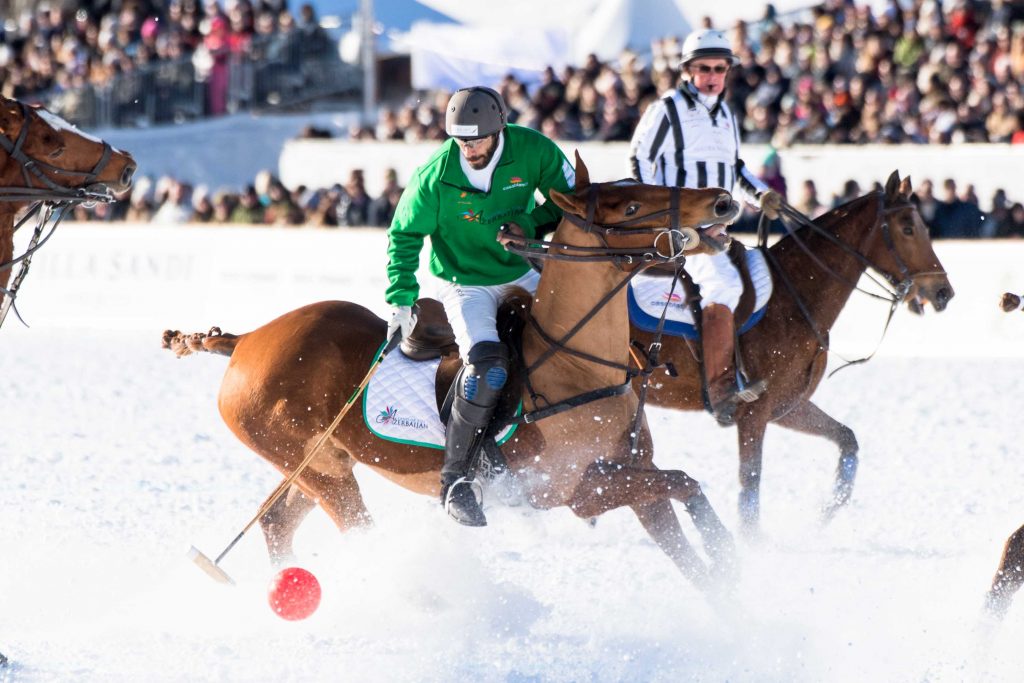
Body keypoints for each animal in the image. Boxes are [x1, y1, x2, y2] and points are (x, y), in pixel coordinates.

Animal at [165, 160, 745, 593]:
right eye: (630, 207)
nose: (722, 200)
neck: (576, 366)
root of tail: (245, 340)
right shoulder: (578, 490)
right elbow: (685, 482)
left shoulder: (633, 477)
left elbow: (688, 519)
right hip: (317, 469)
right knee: (355, 530)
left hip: (321, 460)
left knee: (274, 522)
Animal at [626, 172, 954, 532]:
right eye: (908, 228)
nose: (943, 292)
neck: (793, 296)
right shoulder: (753, 412)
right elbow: (750, 484)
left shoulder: (786, 405)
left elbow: (847, 438)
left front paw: (826, 511)